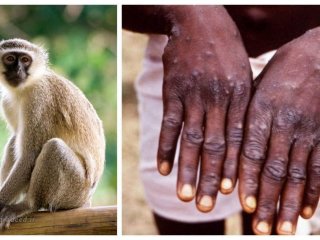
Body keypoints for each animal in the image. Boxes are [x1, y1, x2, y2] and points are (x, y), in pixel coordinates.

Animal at [0, 38, 106, 228]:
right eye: (10, 58)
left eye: (25, 60)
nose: (18, 70)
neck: (24, 88)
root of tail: (86, 200)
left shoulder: (39, 99)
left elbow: (29, 155)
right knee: (15, 140)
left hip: (75, 189)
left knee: (53, 148)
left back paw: (27, 205)